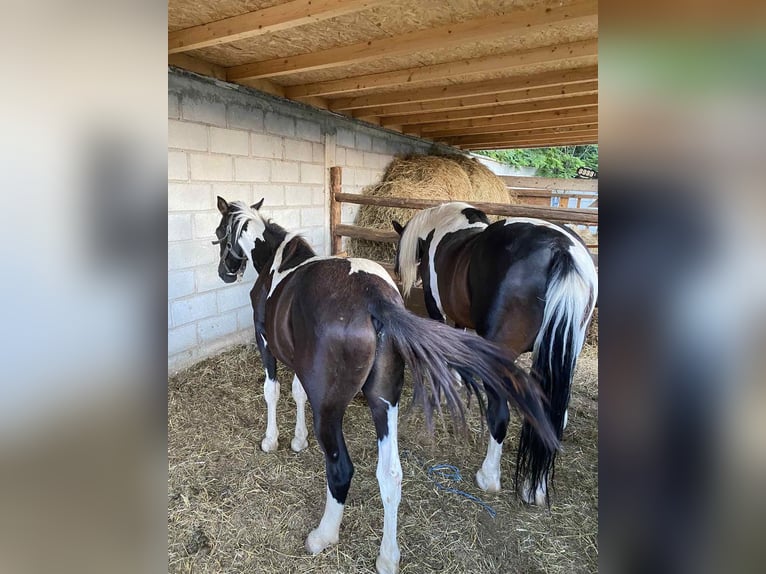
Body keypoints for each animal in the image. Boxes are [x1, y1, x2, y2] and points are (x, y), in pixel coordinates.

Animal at [213, 198, 560, 574]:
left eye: (219, 232)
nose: (224, 272)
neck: (278, 262)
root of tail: (374, 299)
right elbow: (297, 393)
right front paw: (298, 440)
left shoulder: (266, 344)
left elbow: (273, 392)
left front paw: (272, 440)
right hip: (384, 401)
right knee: (391, 474)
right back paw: (387, 557)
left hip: (331, 411)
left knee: (340, 470)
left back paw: (323, 536)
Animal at [396, 204, 600, 508]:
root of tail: (559, 249)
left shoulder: (438, 311)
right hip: (561, 354)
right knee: (552, 415)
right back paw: (535, 489)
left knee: (499, 415)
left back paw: (488, 477)